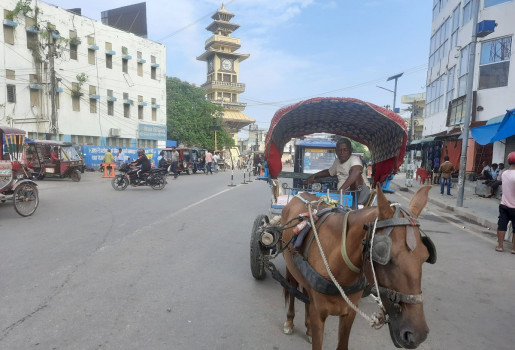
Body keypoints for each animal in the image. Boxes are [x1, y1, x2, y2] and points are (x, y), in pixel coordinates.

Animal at [280, 185, 434, 348]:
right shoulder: (319, 314)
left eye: (425, 256)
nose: (417, 334)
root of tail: (300, 194)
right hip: (291, 269)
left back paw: (308, 329)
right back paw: (289, 322)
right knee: (292, 289)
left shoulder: (349, 313)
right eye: (387, 257)